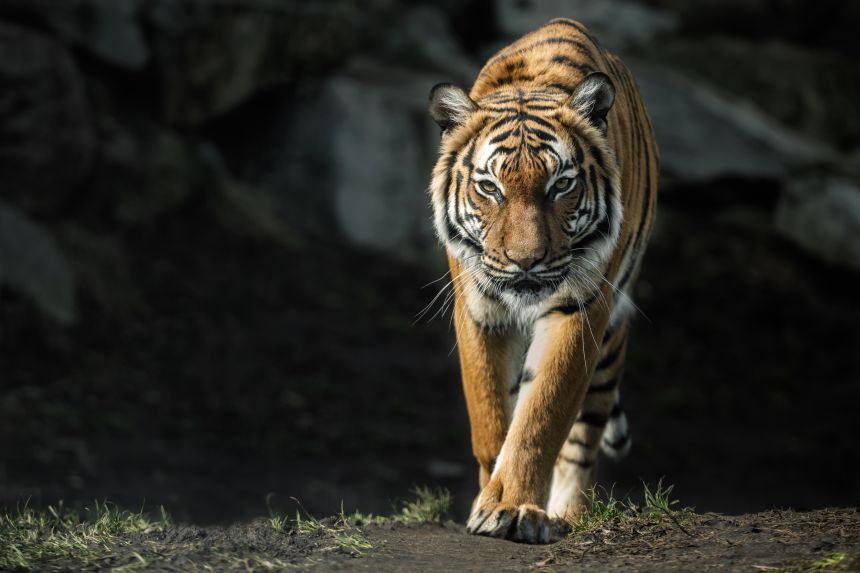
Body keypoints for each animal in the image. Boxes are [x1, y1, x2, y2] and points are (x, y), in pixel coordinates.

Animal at [426, 18, 658, 544]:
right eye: (489, 187)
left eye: (561, 185)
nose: (526, 261)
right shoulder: (479, 309)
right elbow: (491, 417)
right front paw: (489, 499)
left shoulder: (581, 308)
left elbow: (540, 417)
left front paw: (513, 508)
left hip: (608, 345)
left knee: (582, 439)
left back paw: (565, 515)